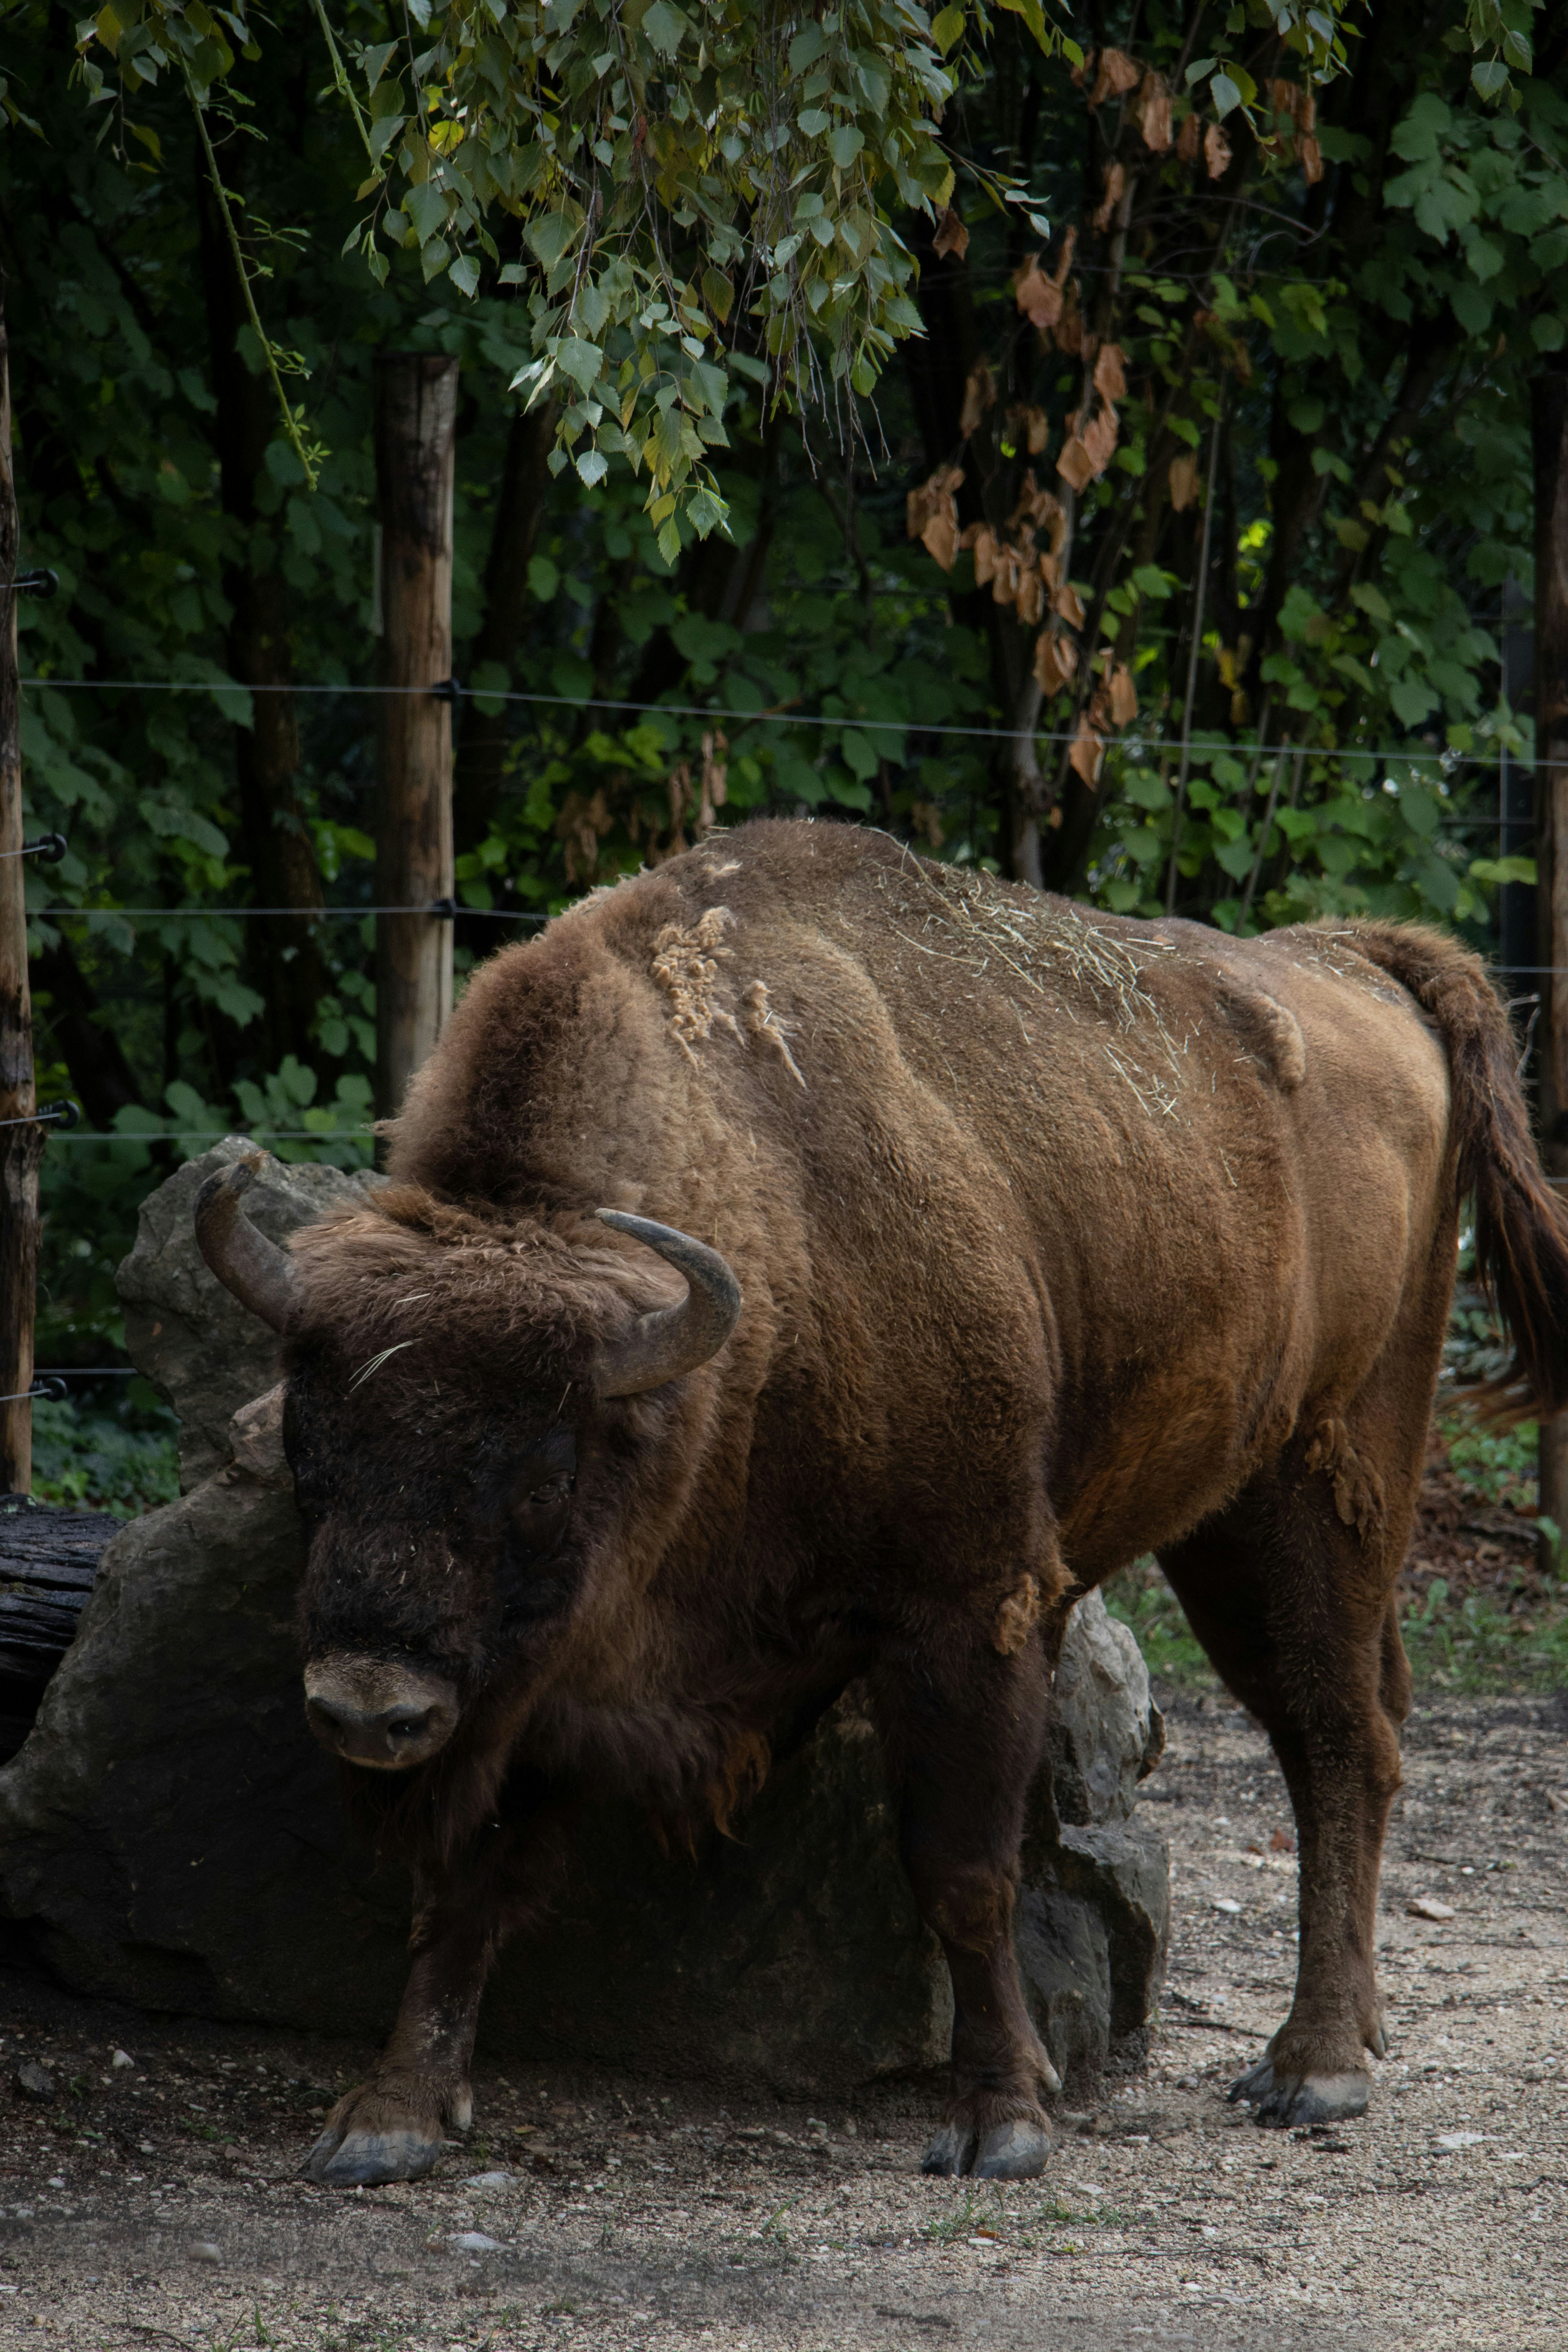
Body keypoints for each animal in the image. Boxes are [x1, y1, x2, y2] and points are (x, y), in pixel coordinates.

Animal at [195, 818, 1568, 2187]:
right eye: (311, 1456)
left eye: (541, 1477)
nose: (368, 1707)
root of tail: (1353, 961)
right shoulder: (548, 1669)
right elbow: (472, 1876)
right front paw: (390, 2113)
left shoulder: (965, 1610)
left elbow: (962, 1869)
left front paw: (1002, 2118)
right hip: (1240, 1514)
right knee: (1351, 1716)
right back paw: (1353, 2028)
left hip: (1326, 1478)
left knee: (1337, 1738)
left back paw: (1313, 2065)